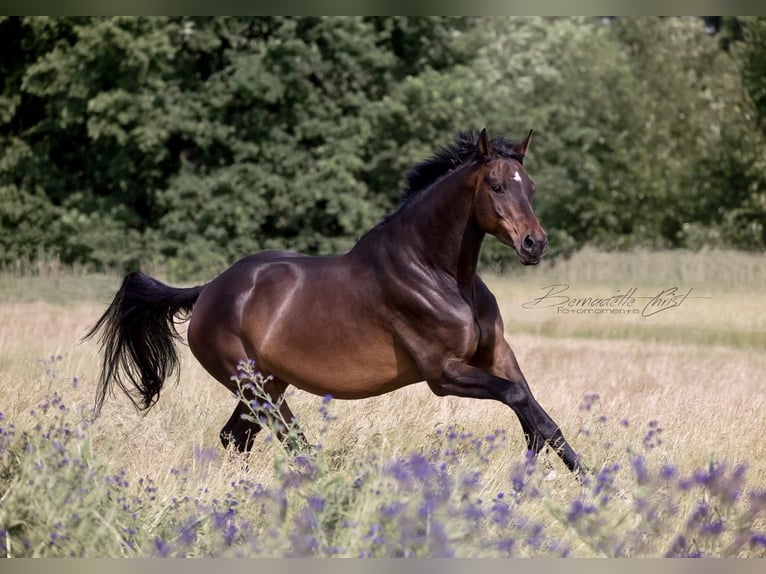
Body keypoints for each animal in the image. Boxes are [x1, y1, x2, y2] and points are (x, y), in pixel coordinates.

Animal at [86, 129, 588, 477]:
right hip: (255, 389)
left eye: (531, 187)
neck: (441, 274)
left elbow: (537, 412)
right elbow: (518, 398)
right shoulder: (443, 372)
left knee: (235, 438)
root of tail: (209, 290)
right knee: (290, 441)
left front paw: (585, 480)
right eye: (497, 186)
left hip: (268, 385)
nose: (534, 244)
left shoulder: (497, 354)